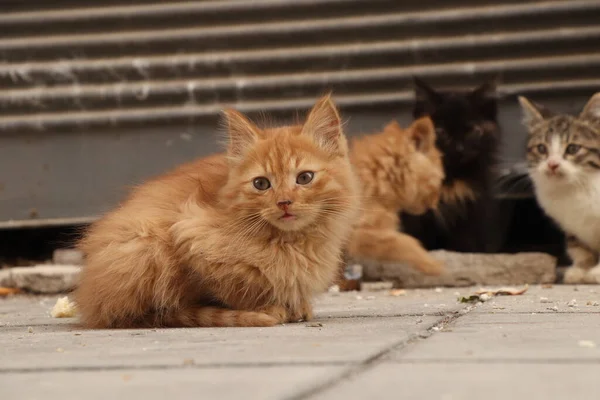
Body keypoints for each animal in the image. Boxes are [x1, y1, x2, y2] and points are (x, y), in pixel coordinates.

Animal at [74, 96, 356, 328]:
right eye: (261, 184)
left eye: (305, 178)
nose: (284, 202)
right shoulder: (189, 233)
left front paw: (295, 305)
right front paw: (265, 307)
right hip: (142, 246)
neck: (289, 242)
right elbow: (231, 290)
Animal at [404, 77, 502, 253]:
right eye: (440, 131)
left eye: (471, 131)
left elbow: (466, 245)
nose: (459, 148)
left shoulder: (474, 211)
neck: (450, 177)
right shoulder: (417, 214)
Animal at [516, 92, 596, 282]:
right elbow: (578, 247)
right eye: (541, 148)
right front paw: (581, 269)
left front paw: (596, 272)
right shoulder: (569, 224)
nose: (552, 164)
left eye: (573, 148)